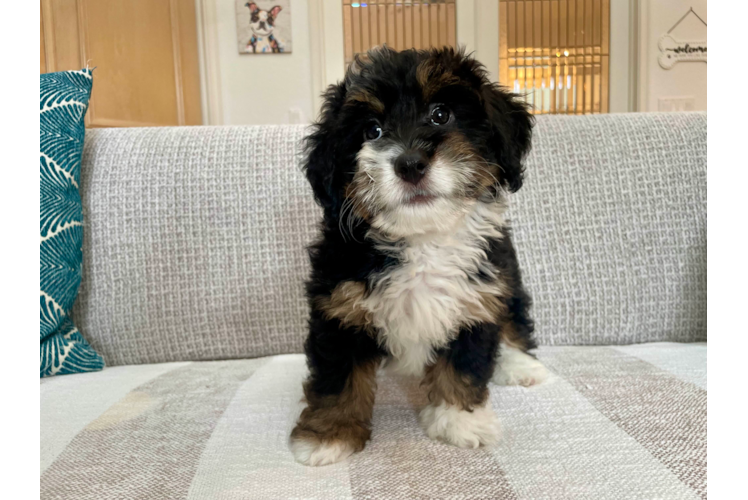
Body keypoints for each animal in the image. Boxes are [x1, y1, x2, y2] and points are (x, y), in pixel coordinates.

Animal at [292, 45, 548, 466]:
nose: (410, 163)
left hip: (506, 278)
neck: (422, 239)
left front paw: (460, 420)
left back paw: (521, 365)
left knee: (513, 319)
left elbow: (465, 363)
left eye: (441, 114)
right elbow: (337, 377)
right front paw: (330, 435)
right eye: (372, 131)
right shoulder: (339, 308)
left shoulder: (476, 300)